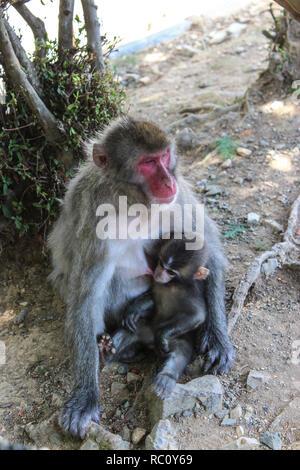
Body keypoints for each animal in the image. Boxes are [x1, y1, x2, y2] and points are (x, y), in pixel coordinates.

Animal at [111, 237, 210, 398]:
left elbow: (197, 315)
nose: (158, 273)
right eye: (161, 263)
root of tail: (150, 343)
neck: (171, 285)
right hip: (143, 328)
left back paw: (166, 377)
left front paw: (162, 334)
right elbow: (151, 296)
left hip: (176, 340)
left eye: (170, 272)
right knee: (126, 333)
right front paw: (134, 309)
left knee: (180, 352)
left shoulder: (191, 292)